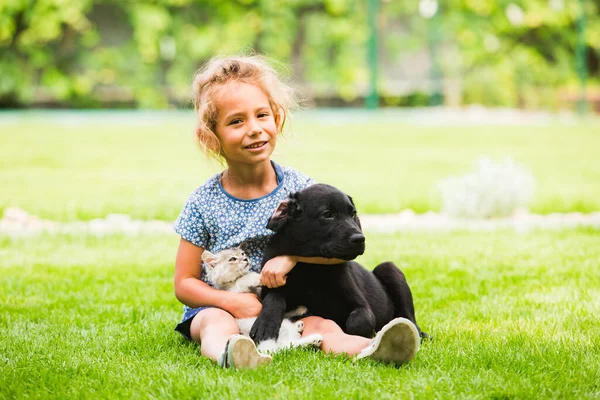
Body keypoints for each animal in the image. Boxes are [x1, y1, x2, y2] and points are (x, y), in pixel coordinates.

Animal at [251, 184, 424, 344]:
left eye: (353, 213)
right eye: (327, 214)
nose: (360, 239)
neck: (312, 269)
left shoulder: (362, 306)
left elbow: (358, 322)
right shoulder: (271, 286)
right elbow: (274, 297)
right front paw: (265, 325)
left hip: (390, 268)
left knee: (409, 319)